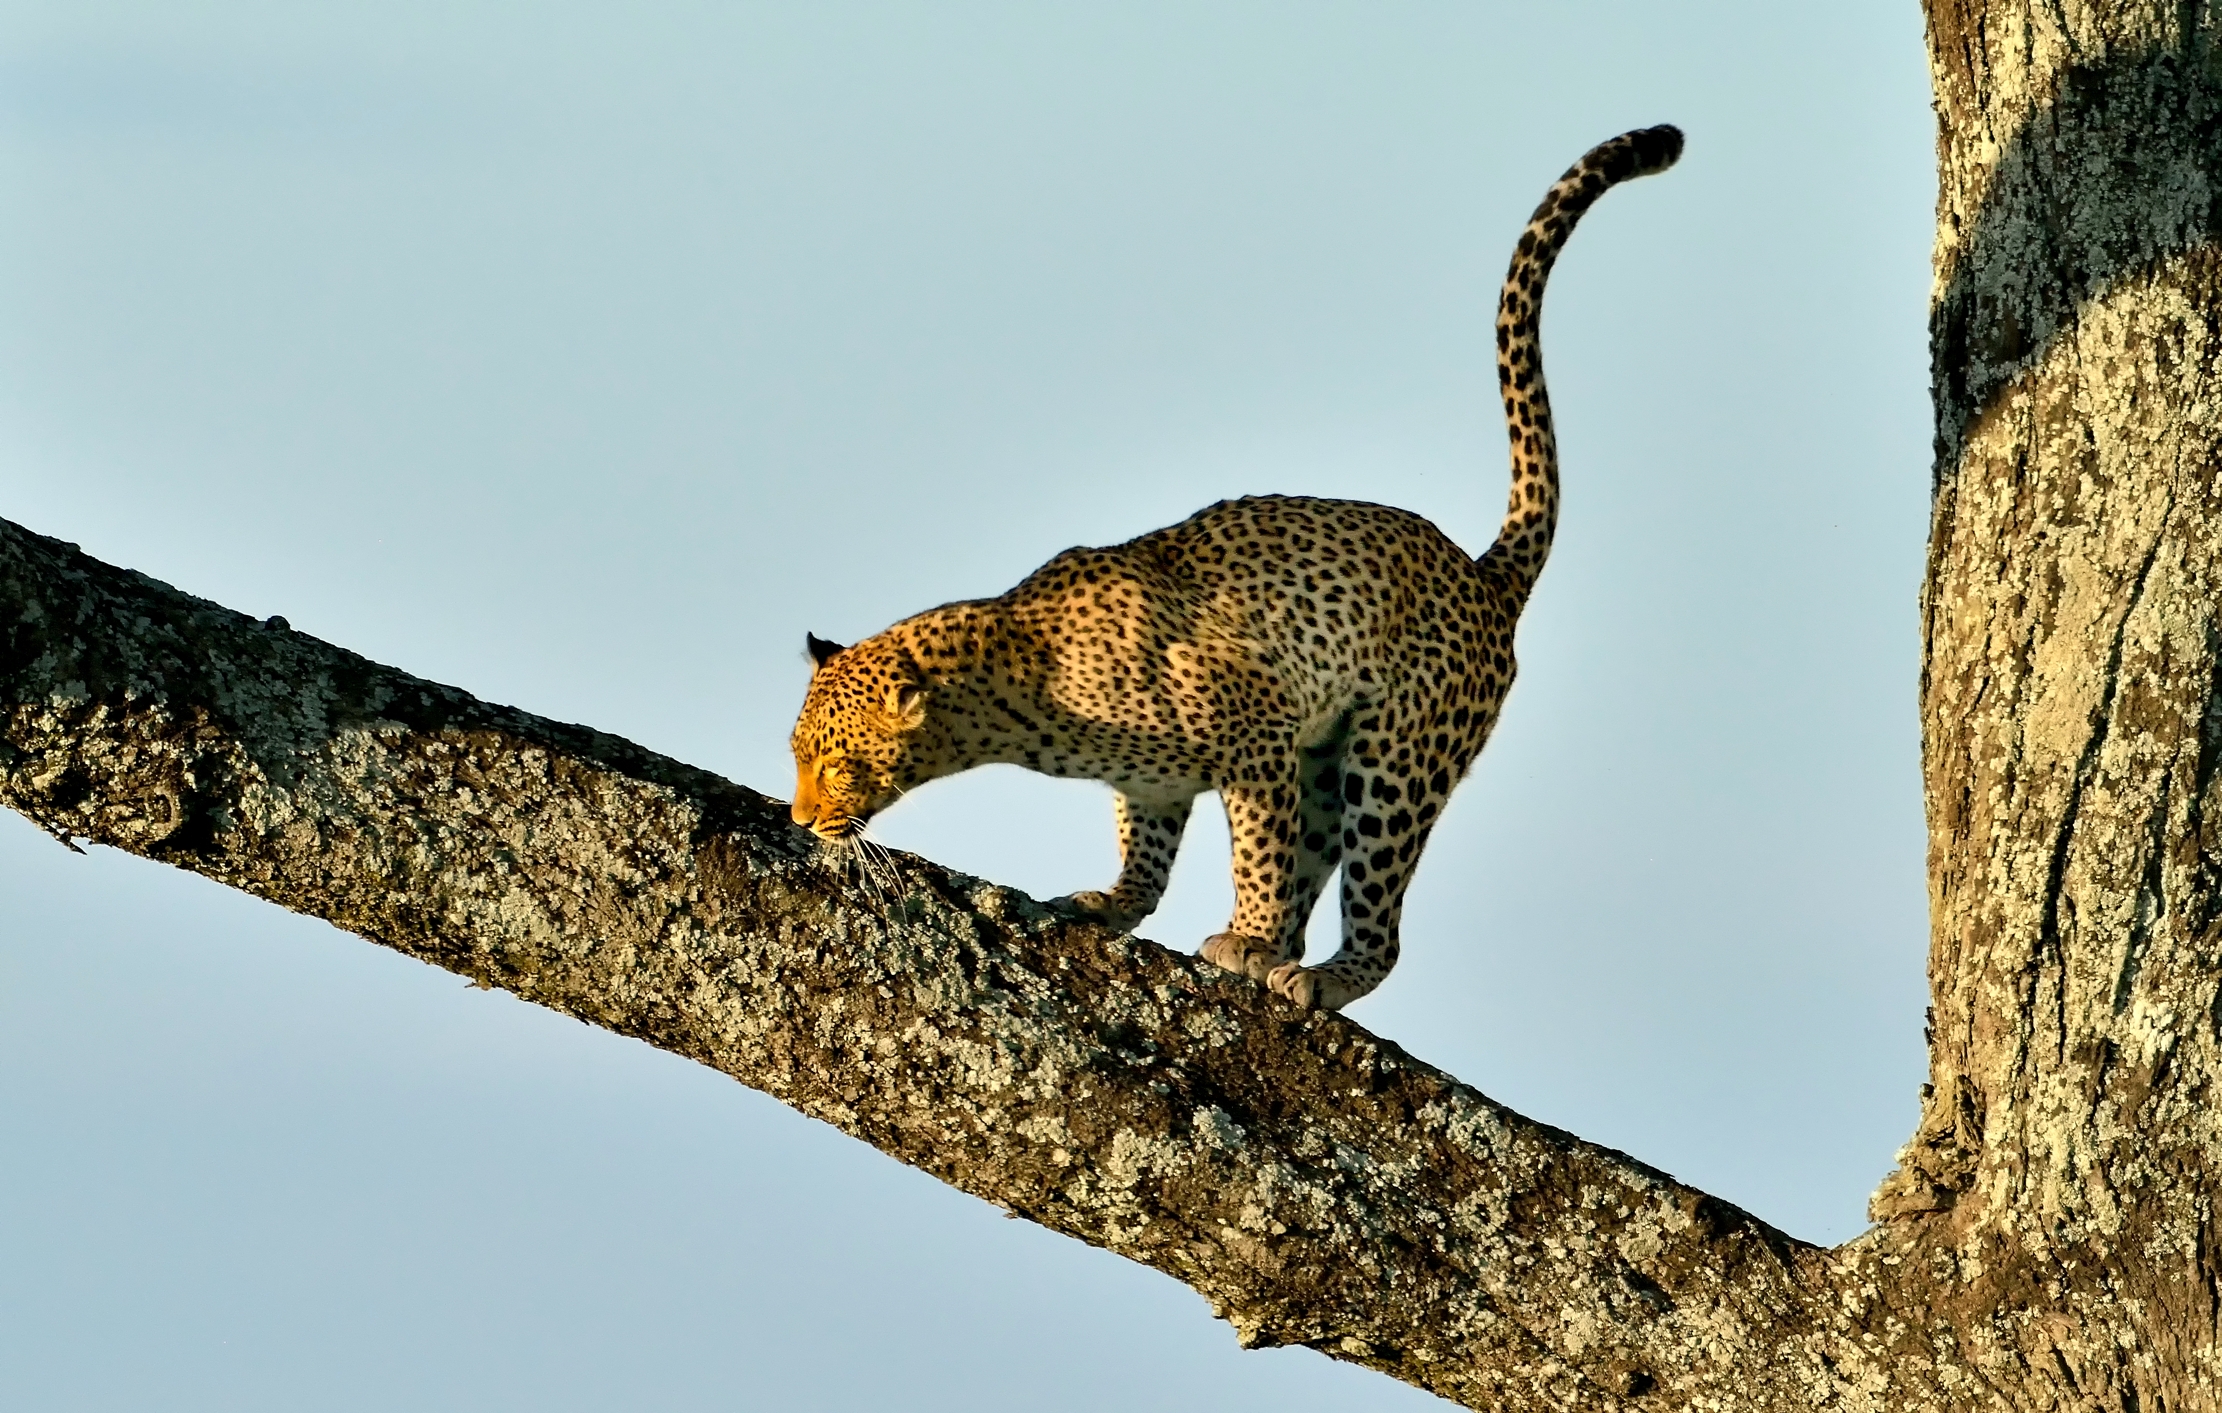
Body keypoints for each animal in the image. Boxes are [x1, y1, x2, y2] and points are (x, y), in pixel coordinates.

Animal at [787, 125, 1683, 1010]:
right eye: (795, 752)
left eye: (831, 763)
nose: (798, 819)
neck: (1016, 693)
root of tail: (1483, 574)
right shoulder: (1161, 775)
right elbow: (1148, 840)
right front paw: (1119, 900)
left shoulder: (1257, 731)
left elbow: (1258, 852)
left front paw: (1246, 934)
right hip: (1328, 763)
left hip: (1396, 759)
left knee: (1377, 911)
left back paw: (1315, 972)